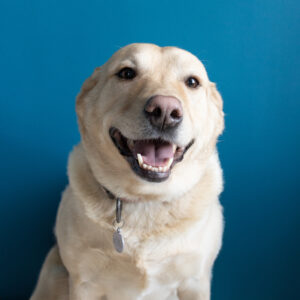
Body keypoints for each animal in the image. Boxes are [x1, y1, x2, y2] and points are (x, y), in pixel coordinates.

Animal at [30, 42, 224, 300]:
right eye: (127, 73)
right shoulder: (83, 283)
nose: (165, 111)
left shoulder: (195, 282)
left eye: (192, 82)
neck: (145, 201)